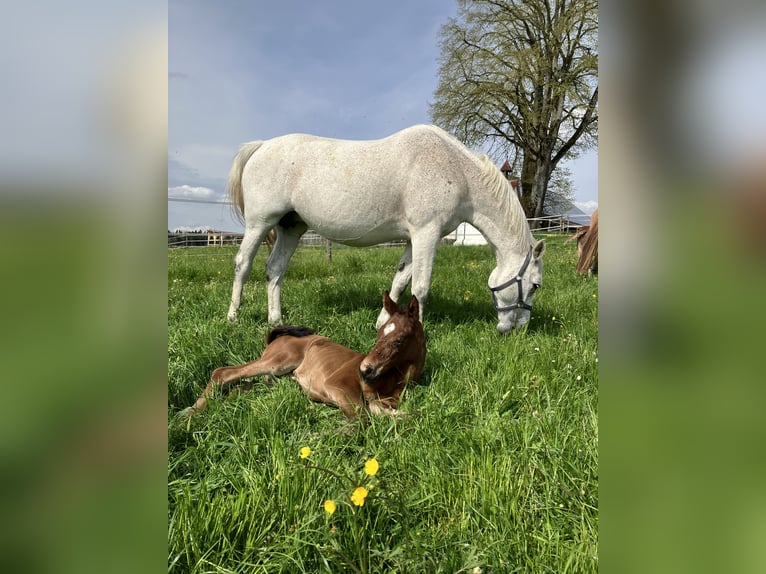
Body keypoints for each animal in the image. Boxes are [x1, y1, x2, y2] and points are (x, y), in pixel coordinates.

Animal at [183, 292, 426, 421]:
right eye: (379, 332)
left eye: (399, 339)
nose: (365, 369)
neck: (391, 380)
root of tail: (278, 337)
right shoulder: (338, 385)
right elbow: (359, 416)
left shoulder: (383, 404)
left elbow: (409, 414)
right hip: (278, 361)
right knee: (223, 373)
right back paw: (187, 415)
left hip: (275, 380)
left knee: (242, 386)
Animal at [225, 124, 545, 334]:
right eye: (535, 285)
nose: (518, 328)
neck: (455, 170)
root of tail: (262, 145)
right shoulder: (427, 234)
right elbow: (420, 288)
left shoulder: (415, 239)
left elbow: (401, 281)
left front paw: (382, 322)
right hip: (259, 223)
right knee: (242, 264)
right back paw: (233, 317)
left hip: (291, 228)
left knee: (274, 270)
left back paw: (276, 321)